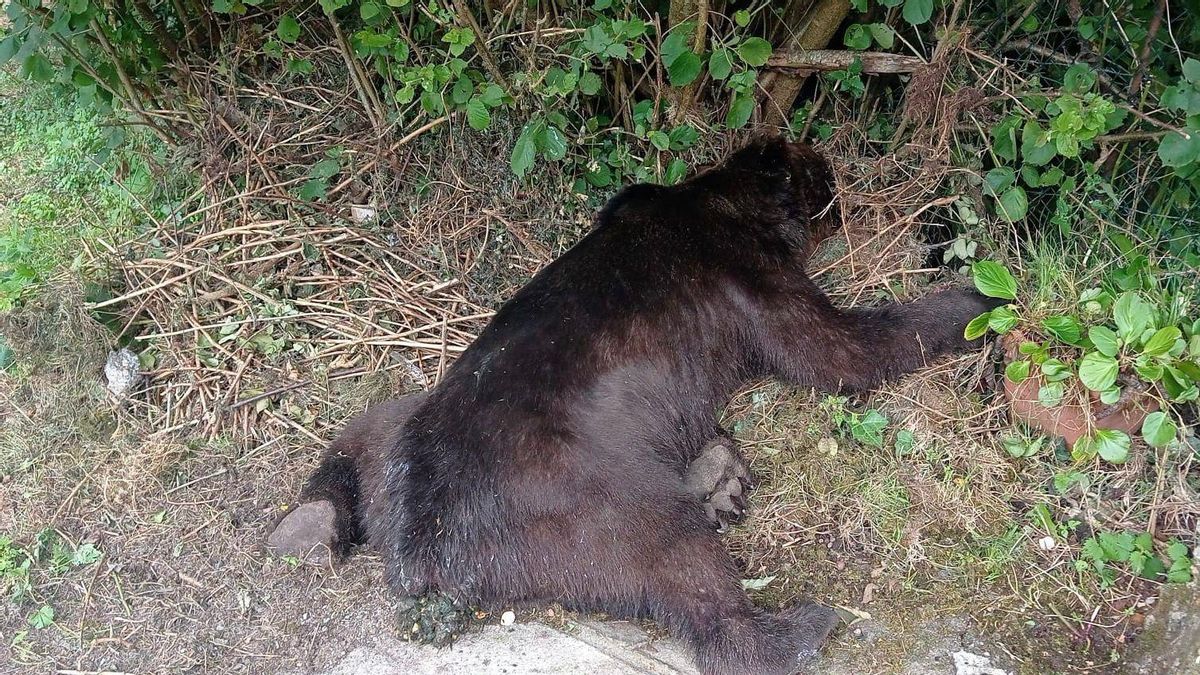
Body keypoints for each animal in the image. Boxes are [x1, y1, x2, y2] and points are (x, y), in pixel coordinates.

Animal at [268, 137, 1001, 675]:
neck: (723, 200)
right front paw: (975, 301)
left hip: (407, 425)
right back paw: (802, 625)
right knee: (694, 583)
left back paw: (307, 525)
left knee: (362, 430)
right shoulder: (757, 283)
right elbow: (847, 348)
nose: (838, 182)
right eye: (818, 172)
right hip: (592, 506)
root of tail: (423, 546)